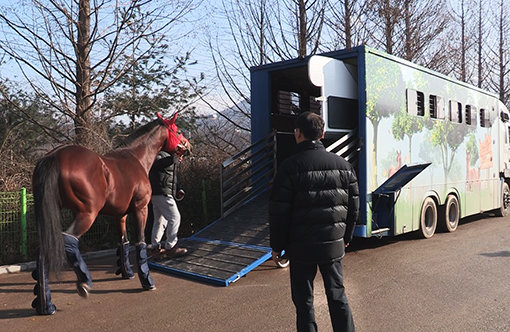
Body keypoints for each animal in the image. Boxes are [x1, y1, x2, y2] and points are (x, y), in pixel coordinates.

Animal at [31, 113, 191, 316]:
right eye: (177, 131)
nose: (188, 147)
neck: (136, 158)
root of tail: (53, 156)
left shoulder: (120, 215)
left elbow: (123, 242)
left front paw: (127, 273)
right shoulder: (141, 209)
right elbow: (140, 243)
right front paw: (146, 281)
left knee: (44, 250)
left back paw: (46, 305)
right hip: (88, 213)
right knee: (69, 239)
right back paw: (84, 282)